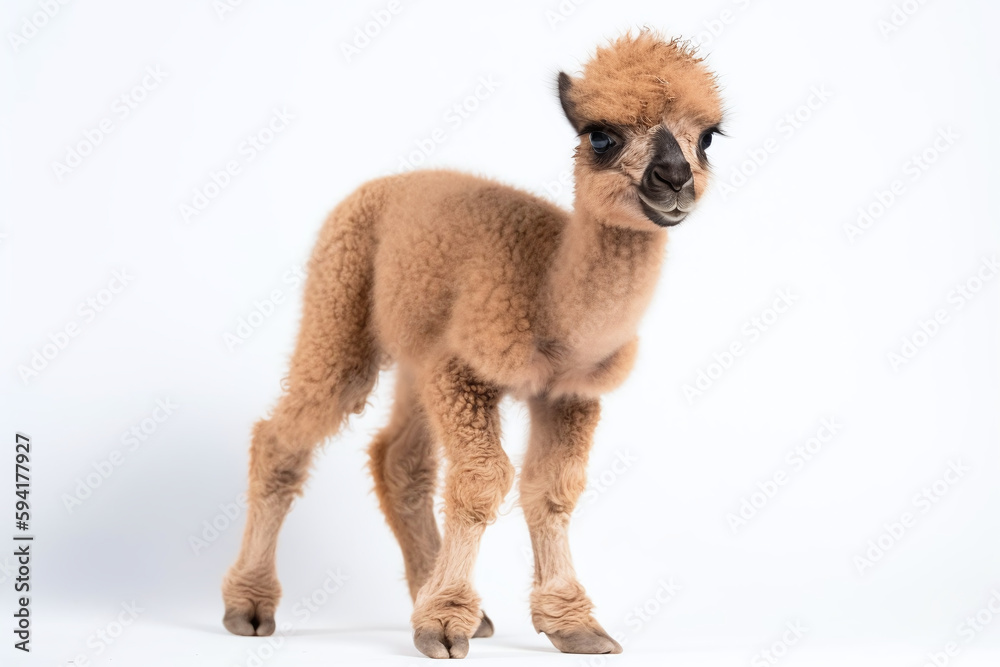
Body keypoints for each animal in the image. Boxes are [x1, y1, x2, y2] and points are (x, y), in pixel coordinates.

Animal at [222, 30, 724, 659]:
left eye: (707, 137)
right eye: (601, 136)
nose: (675, 179)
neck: (548, 296)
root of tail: (379, 185)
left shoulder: (569, 392)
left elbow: (552, 489)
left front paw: (573, 624)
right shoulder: (463, 367)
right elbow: (483, 481)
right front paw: (443, 625)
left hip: (414, 352)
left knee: (399, 460)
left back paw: (437, 595)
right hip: (340, 303)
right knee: (284, 437)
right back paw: (249, 605)